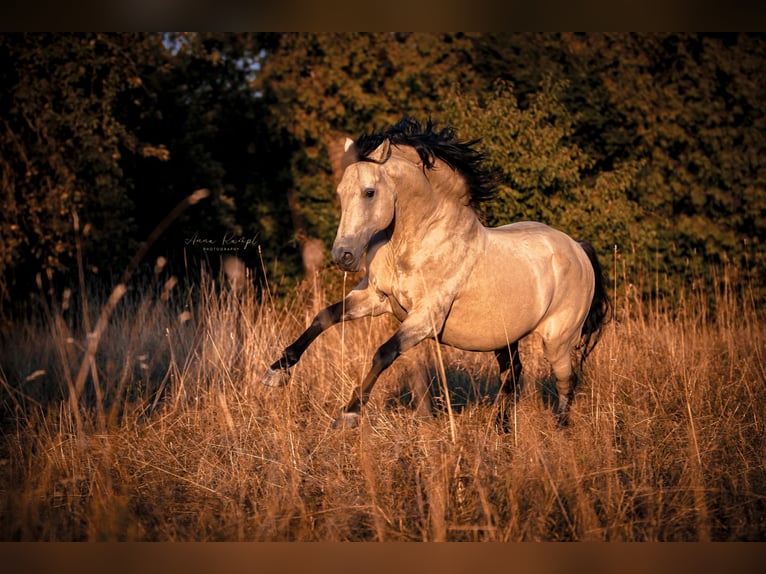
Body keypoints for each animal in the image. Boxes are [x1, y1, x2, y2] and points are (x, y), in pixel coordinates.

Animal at [264, 118, 612, 432]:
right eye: (340, 192)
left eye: (369, 192)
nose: (343, 255)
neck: (415, 244)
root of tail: (577, 248)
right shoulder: (375, 297)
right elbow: (324, 317)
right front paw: (276, 372)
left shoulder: (426, 317)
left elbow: (384, 353)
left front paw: (348, 415)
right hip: (505, 337)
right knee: (513, 374)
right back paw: (501, 430)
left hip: (558, 339)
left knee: (566, 380)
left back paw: (560, 429)